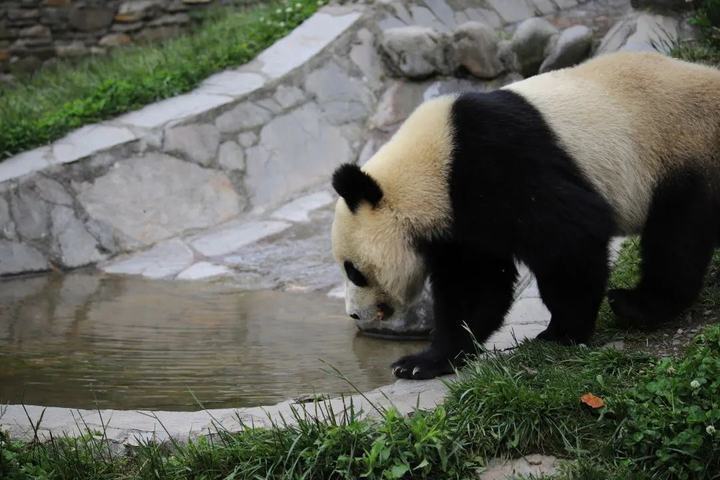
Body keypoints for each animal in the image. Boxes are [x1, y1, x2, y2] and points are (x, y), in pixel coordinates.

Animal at [330, 52, 720, 380]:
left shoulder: (499, 162)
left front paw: (562, 332)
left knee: (676, 237)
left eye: (354, 271)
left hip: (681, 148)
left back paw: (637, 304)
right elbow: (475, 284)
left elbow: (570, 236)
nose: (354, 314)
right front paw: (423, 361)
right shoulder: (462, 220)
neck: (432, 166)